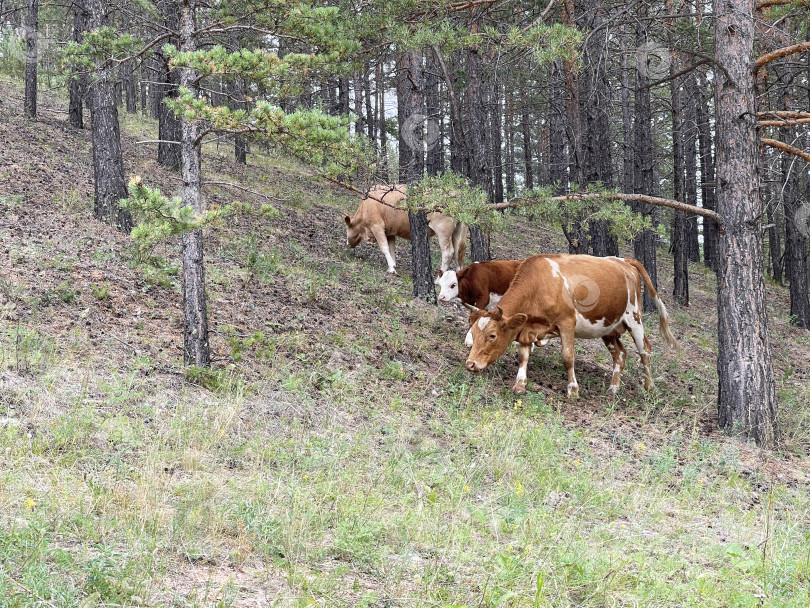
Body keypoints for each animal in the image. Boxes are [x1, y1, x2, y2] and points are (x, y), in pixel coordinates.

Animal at [460, 254, 676, 396]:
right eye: (474, 333)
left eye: (492, 335)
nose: (470, 364)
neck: (541, 283)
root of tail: (623, 260)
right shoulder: (527, 327)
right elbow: (523, 356)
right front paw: (520, 384)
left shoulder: (566, 324)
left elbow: (568, 357)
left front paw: (573, 389)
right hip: (609, 327)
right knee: (620, 354)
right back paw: (613, 388)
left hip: (634, 318)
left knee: (645, 350)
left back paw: (649, 387)